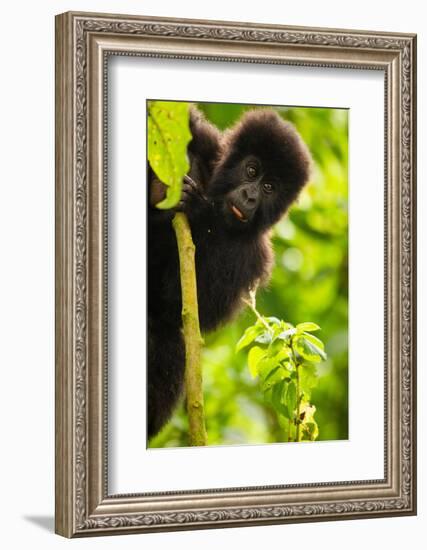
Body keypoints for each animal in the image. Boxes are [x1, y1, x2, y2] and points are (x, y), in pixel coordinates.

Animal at [147, 105, 310, 438]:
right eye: (251, 171)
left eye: (269, 187)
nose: (250, 196)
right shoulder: (209, 145)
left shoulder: (253, 256)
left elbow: (184, 305)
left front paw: (198, 208)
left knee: (168, 338)